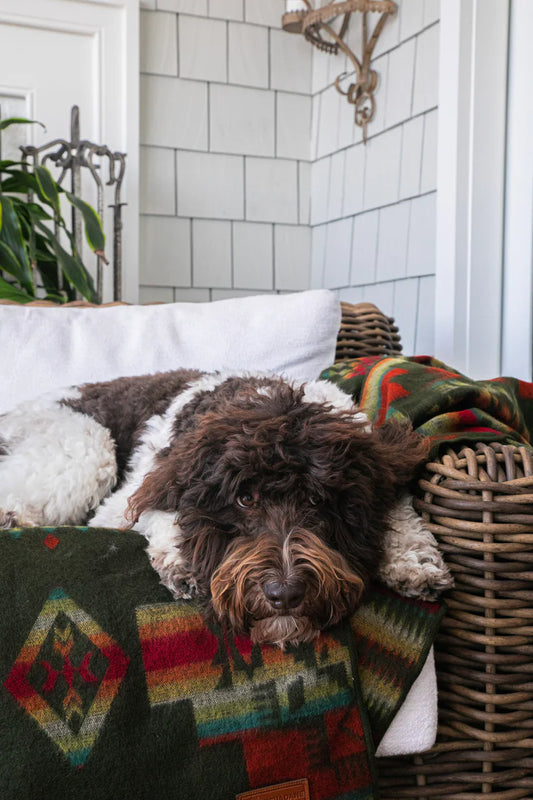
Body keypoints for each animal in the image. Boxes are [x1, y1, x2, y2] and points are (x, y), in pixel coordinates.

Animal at [0, 368, 450, 644]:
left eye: (317, 500)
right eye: (244, 499)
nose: (284, 593)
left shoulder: (381, 464)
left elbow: (398, 509)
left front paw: (414, 561)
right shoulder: (136, 492)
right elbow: (163, 512)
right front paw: (180, 559)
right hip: (88, 449)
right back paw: (12, 516)